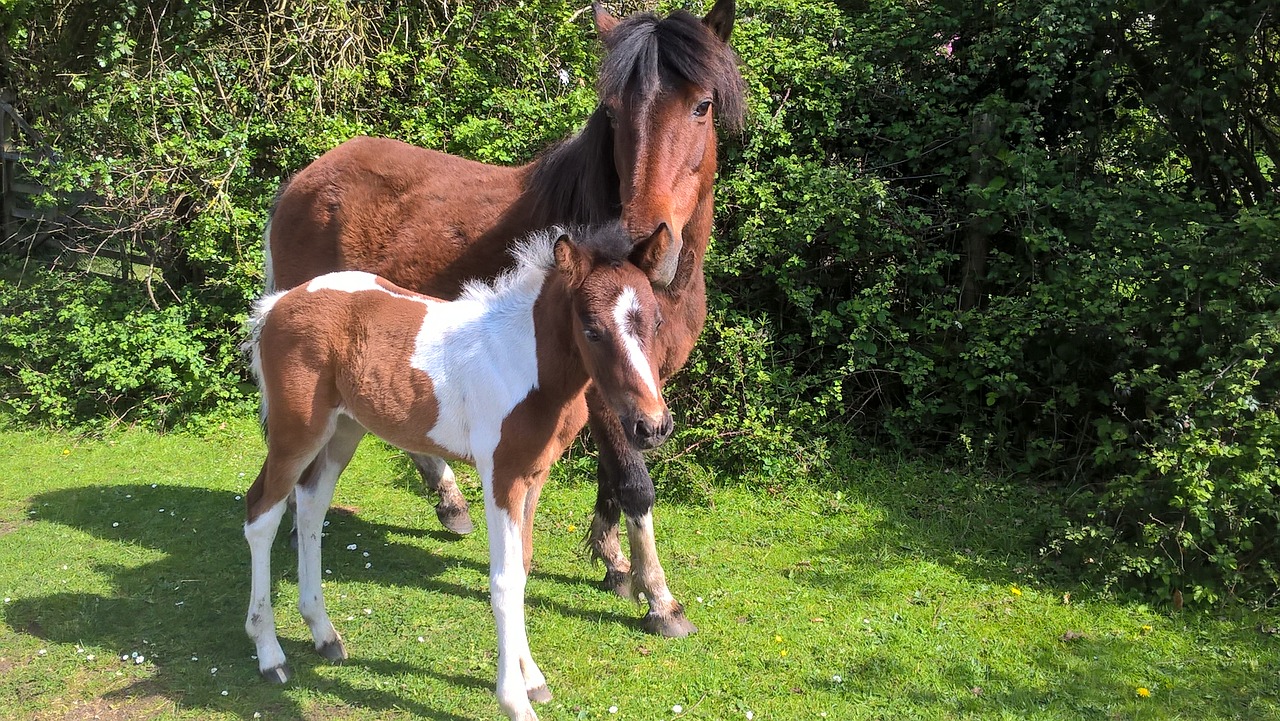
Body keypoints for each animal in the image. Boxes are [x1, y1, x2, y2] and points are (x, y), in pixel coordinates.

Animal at [243, 225, 675, 721]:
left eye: (656, 323)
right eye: (591, 328)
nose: (652, 426)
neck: (525, 367)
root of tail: (278, 303)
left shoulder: (534, 476)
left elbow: (521, 566)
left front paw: (532, 678)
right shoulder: (501, 476)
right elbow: (504, 580)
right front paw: (515, 699)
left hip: (343, 431)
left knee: (312, 507)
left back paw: (323, 633)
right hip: (296, 432)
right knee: (262, 514)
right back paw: (270, 655)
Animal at [267, 0, 747, 637]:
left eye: (701, 105)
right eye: (614, 113)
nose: (643, 240)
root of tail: (303, 180)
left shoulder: (635, 383)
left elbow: (612, 478)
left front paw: (613, 564)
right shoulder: (604, 384)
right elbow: (634, 483)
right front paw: (659, 598)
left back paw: (450, 503)